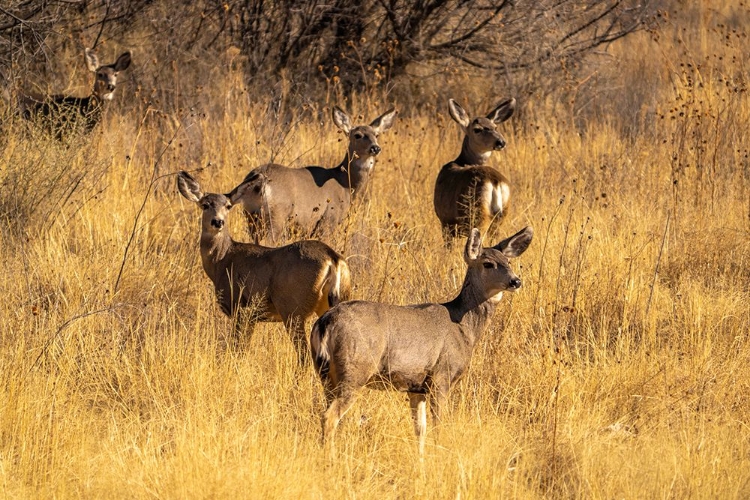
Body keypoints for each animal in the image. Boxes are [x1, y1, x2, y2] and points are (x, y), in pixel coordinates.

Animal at [177, 171, 352, 364]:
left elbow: (238, 349)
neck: (222, 260)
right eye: (205, 204)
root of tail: (333, 258)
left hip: (292, 309)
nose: (218, 221)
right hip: (337, 299)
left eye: (228, 206)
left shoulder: (241, 308)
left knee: (304, 356)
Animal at [228, 106, 396, 243]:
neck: (346, 184)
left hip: (251, 217)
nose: (375, 148)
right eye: (358, 135)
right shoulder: (328, 219)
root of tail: (259, 179)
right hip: (276, 215)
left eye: (376, 134)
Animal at [312, 225, 536, 456]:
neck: (463, 327)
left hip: (326, 374)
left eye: (508, 262)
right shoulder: (441, 376)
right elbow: (439, 426)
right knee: (329, 416)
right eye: (488, 263)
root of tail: (325, 322)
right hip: (355, 370)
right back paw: (330, 457)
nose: (516, 281)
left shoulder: (416, 386)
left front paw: (421, 459)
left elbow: (420, 428)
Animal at [434, 97, 516, 240]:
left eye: (495, 127)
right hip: (502, 215)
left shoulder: (445, 221)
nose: (501, 142)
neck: (462, 161)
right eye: (477, 129)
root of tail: (495, 182)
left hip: (478, 213)